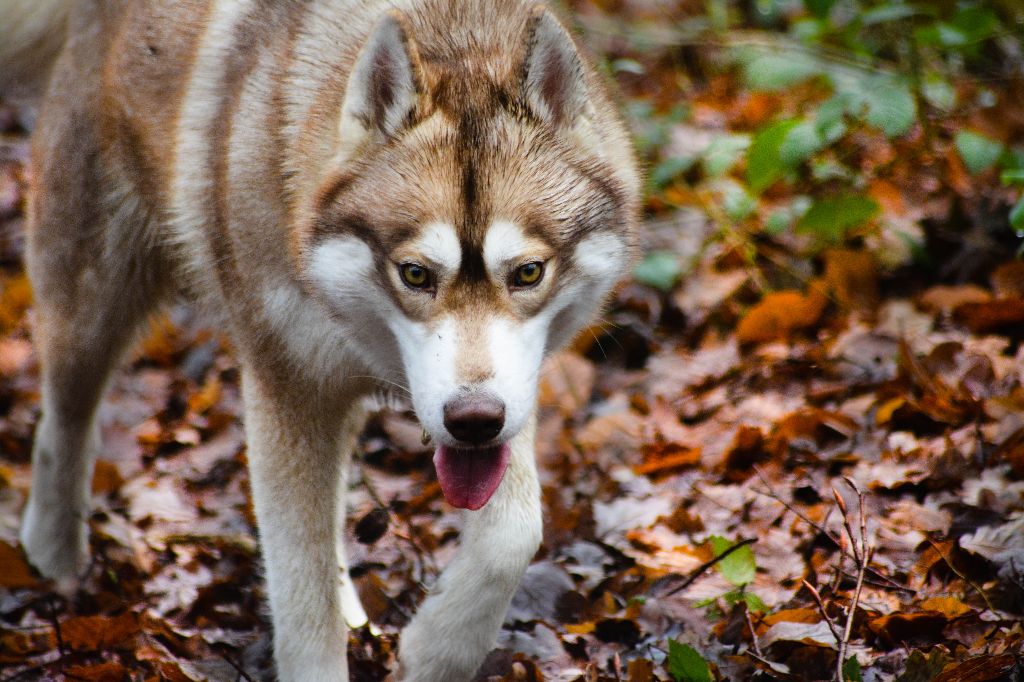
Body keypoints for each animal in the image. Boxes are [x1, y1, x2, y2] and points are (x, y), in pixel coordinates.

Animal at [4, 0, 634, 675]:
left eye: (528, 273)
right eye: (415, 274)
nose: (472, 420)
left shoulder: (507, 395)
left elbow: (515, 533)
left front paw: (434, 653)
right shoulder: (288, 390)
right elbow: (299, 597)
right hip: (91, 312)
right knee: (64, 424)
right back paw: (52, 562)